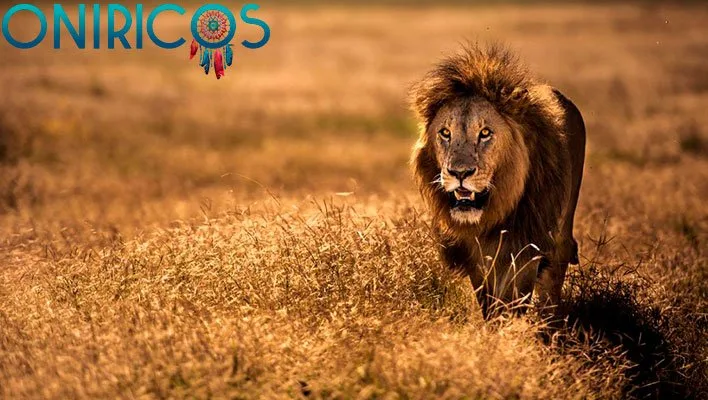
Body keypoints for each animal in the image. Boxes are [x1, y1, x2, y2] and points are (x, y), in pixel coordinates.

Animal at [410, 43, 586, 317]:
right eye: (445, 133)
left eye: (485, 133)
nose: (460, 173)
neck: (489, 218)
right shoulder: (473, 256)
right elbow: (488, 301)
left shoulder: (524, 247)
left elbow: (511, 301)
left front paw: (509, 327)